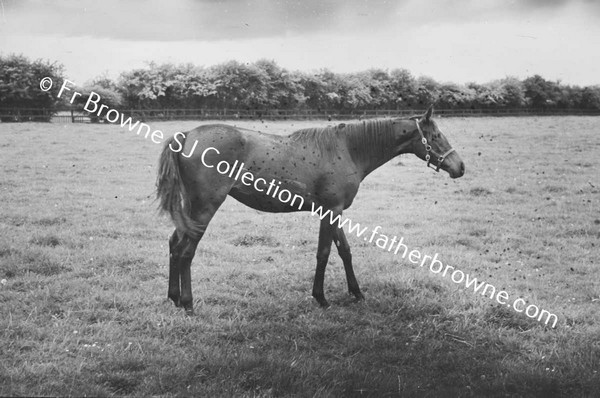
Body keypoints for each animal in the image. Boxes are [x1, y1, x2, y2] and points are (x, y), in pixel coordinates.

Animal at [155, 105, 464, 314]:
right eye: (436, 135)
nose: (460, 167)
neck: (348, 149)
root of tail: (186, 135)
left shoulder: (334, 212)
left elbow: (344, 251)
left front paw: (357, 293)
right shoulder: (331, 211)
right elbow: (324, 253)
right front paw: (321, 297)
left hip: (190, 210)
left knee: (174, 245)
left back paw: (173, 297)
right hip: (204, 209)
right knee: (186, 252)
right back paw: (188, 304)